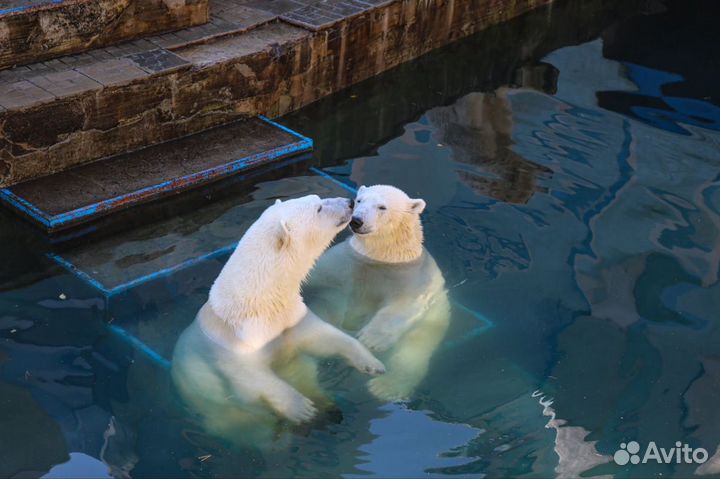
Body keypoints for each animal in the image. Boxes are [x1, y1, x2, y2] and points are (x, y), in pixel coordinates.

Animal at [171, 196, 386, 446]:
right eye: (318, 207)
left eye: (316, 199)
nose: (350, 201)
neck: (258, 303)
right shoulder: (238, 345)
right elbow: (251, 378)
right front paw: (302, 408)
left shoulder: (292, 318)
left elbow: (323, 338)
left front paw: (371, 363)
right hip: (221, 413)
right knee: (250, 427)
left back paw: (330, 410)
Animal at [304, 186, 450, 404]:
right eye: (359, 200)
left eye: (382, 207)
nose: (356, 220)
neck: (381, 259)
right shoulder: (345, 262)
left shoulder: (411, 278)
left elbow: (403, 305)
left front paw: (370, 340)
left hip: (433, 322)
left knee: (413, 352)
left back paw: (386, 387)